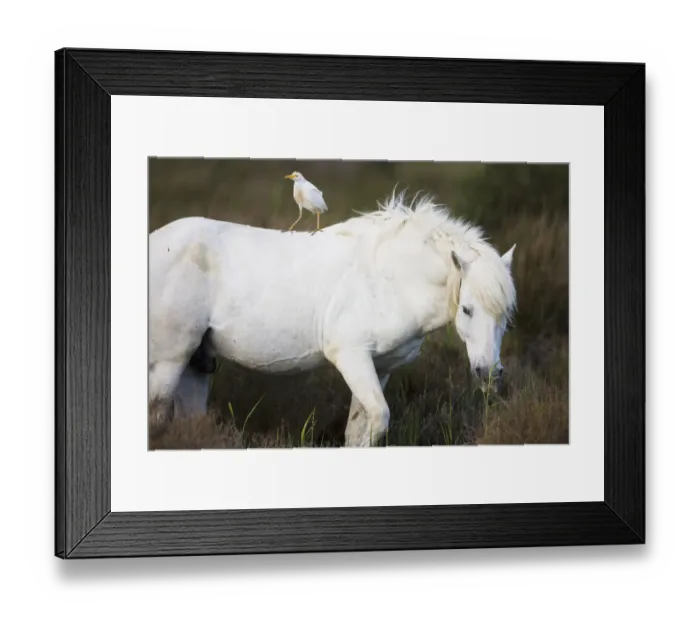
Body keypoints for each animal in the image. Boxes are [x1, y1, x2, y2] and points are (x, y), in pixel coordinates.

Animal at [148, 191, 517, 447]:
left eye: (506, 318)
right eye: (467, 309)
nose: (489, 373)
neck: (389, 278)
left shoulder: (380, 366)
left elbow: (359, 429)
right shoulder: (351, 357)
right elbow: (378, 418)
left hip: (195, 364)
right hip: (170, 360)